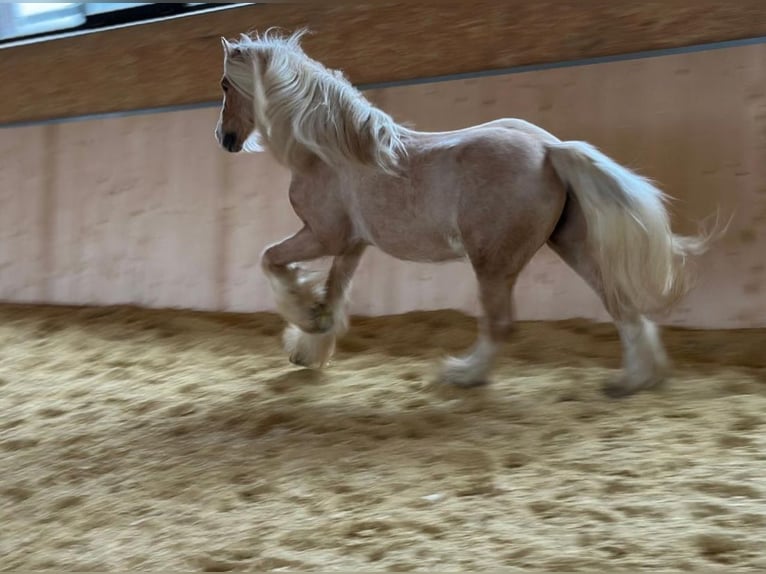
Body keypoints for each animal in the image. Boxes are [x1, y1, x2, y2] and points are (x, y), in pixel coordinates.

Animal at [214, 29, 720, 398]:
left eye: (224, 84)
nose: (225, 138)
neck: (330, 152)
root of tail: (550, 149)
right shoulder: (353, 246)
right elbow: (334, 294)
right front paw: (311, 342)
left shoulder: (323, 235)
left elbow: (270, 259)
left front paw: (304, 317)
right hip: (571, 246)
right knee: (621, 306)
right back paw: (633, 381)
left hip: (493, 263)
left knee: (501, 324)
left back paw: (463, 374)